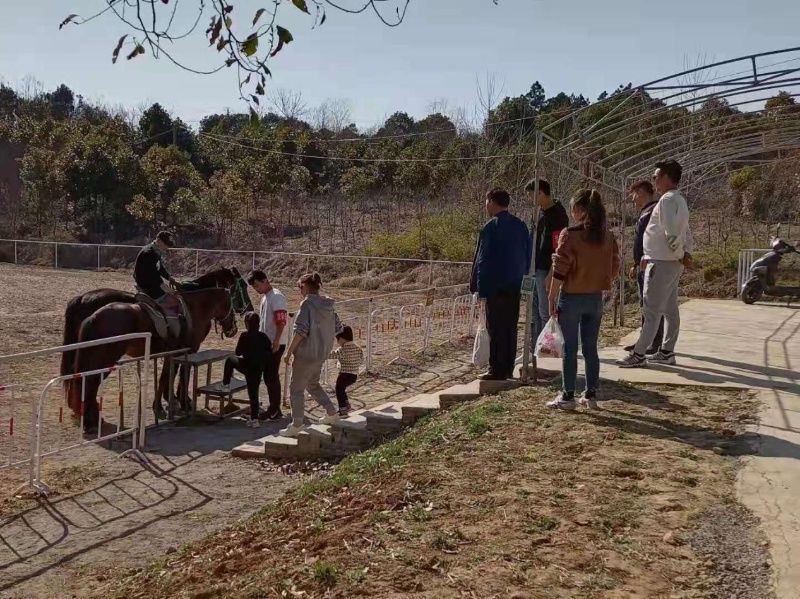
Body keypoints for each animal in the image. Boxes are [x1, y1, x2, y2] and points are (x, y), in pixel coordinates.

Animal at [68, 286, 241, 432]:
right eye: (232, 304)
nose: (233, 330)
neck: (194, 310)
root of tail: (94, 317)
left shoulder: (173, 355)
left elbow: (168, 377)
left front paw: (169, 403)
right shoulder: (188, 352)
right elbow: (177, 377)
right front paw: (173, 404)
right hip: (106, 360)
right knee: (91, 384)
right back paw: (91, 422)